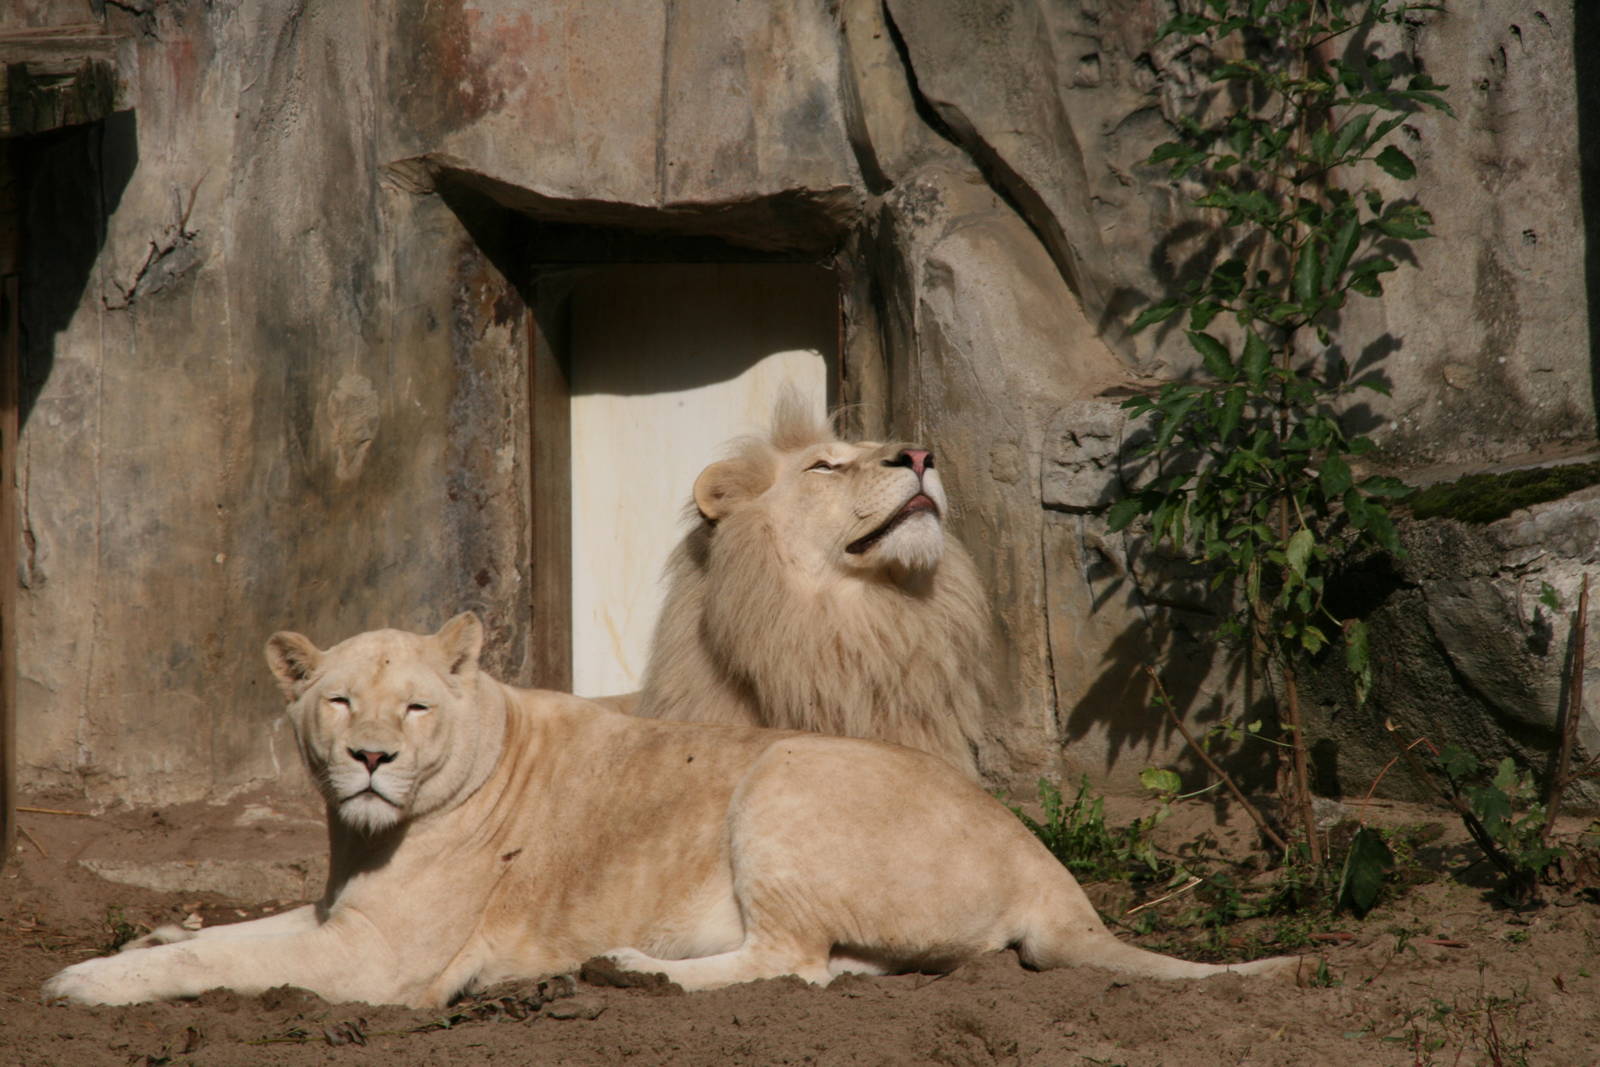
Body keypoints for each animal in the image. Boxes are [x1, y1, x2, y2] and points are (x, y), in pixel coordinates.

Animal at [43, 614, 1295, 1008]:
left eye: (416, 705)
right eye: (338, 696)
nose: (368, 756)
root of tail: (1050, 867)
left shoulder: (379, 959)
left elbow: (220, 961)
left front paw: (86, 982)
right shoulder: (338, 916)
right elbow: (223, 931)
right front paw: (143, 933)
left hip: (783, 776)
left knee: (787, 959)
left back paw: (630, 970)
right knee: (834, 965)